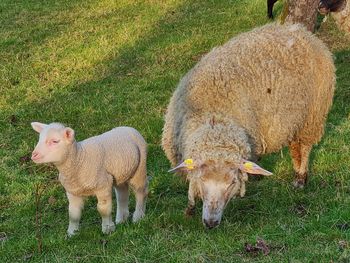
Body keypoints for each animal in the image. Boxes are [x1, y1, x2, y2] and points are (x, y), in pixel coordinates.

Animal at [162, 23, 336, 230]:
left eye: (232, 183)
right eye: (203, 180)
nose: (211, 223)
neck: (214, 118)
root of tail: (301, 31)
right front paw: (189, 208)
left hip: (313, 115)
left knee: (306, 147)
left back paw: (300, 178)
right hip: (295, 119)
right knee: (295, 146)